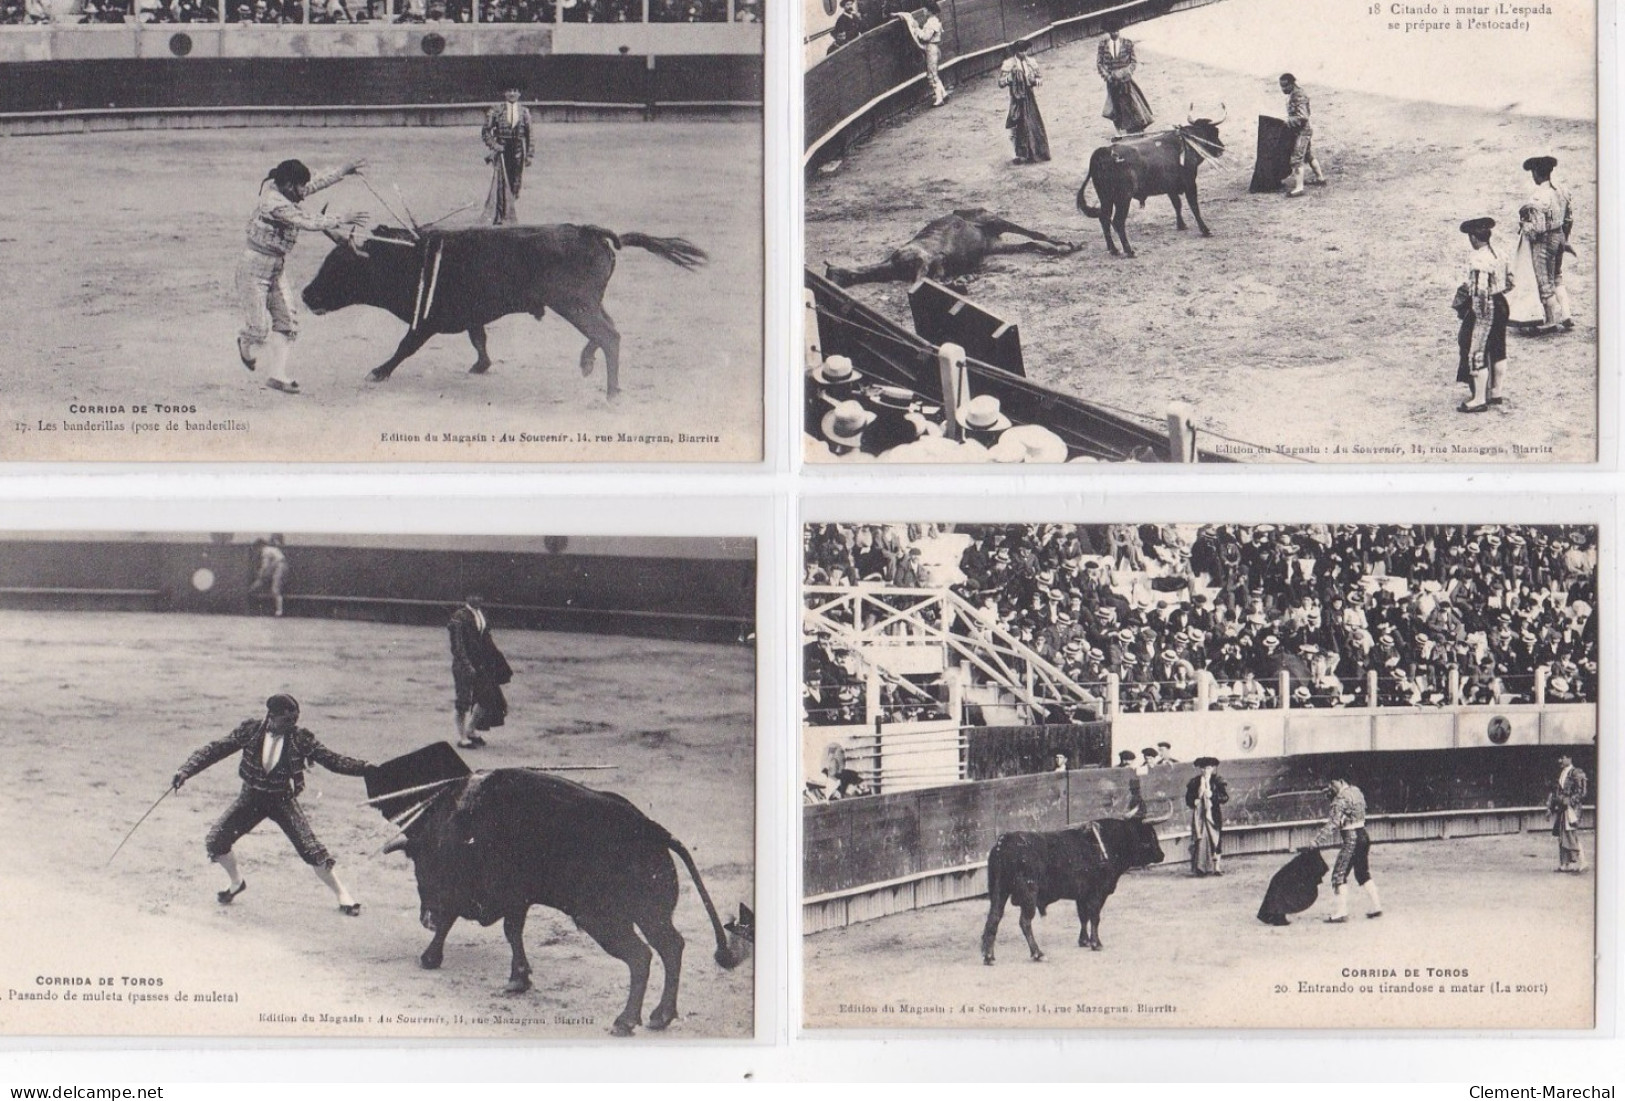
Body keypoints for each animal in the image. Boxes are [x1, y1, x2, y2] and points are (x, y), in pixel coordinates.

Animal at [302, 222, 708, 399]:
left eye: (339, 267)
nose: (306, 295)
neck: (404, 259)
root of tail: (590, 231)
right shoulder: (472, 314)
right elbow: (479, 339)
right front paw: (481, 366)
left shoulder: (426, 321)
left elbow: (405, 347)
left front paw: (378, 372)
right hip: (587, 303)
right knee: (609, 332)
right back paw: (589, 365)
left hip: (575, 304)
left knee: (607, 335)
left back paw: (610, 389)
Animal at [380, 772, 744, 1039]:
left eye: (422, 869)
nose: (425, 918)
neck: (459, 829)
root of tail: (652, 830)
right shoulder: (517, 898)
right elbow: (511, 931)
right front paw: (518, 979)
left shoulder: (492, 893)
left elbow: (461, 919)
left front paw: (431, 956)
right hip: (651, 915)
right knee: (671, 946)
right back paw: (661, 1016)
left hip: (604, 921)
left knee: (641, 956)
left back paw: (625, 1021)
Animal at [825, 209, 1079, 289]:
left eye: (833, 274)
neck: (892, 265)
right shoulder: (935, 264)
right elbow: (934, 280)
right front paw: (962, 281)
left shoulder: (927, 258)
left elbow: (927, 279)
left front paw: (960, 282)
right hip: (995, 245)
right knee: (1030, 243)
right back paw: (1061, 248)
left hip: (993, 219)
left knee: (1033, 234)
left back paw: (1067, 245)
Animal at [981, 818, 1163, 967]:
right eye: (1149, 838)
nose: (1162, 855)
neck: (1109, 842)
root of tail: (1004, 842)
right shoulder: (1098, 892)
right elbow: (1095, 917)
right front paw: (1096, 944)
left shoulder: (1082, 895)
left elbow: (1083, 917)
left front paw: (1084, 941)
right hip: (1028, 894)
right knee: (1024, 922)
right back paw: (1038, 954)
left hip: (999, 891)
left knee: (994, 917)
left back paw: (988, 956)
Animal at [1072, 109, 1222, 261]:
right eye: (1215, 132)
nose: (1221, 148)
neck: (1187, 142)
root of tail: (1104, 152)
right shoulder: (1190, 183)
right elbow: (1194, 207)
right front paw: (1205, 230)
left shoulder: (1171, 187)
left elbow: (1177, 204)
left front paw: (1181, 225)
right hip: (1123, 199)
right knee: (1117, 222)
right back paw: (1129, 251)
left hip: (1105, 198)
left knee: (1104, 218)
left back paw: (1113, 249)